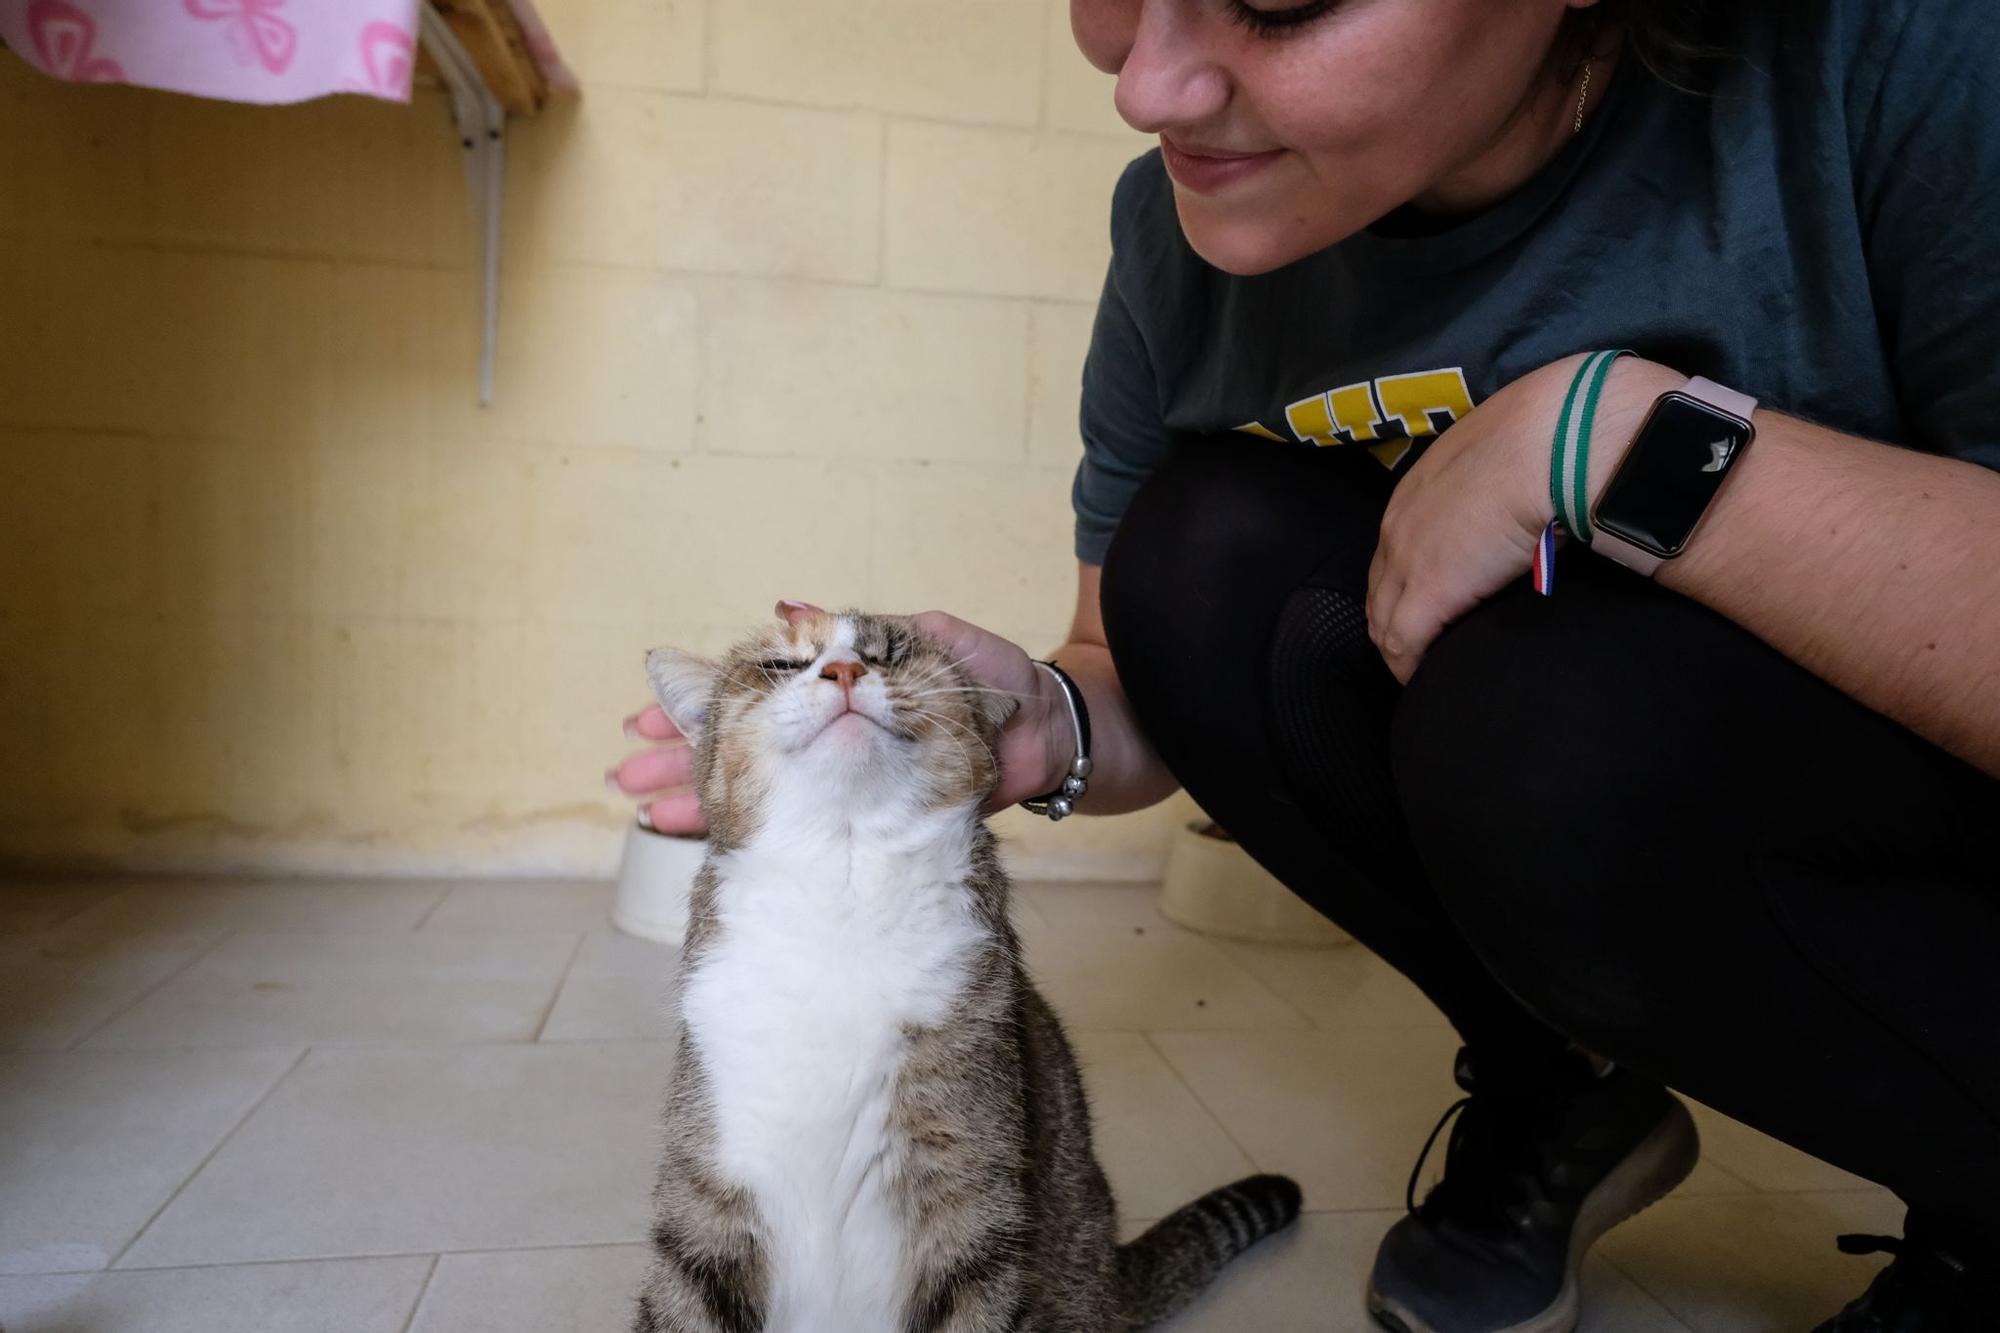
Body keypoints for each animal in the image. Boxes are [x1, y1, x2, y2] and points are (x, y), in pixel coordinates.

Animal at [632, 612, 1304, 1328]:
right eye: (782, 665)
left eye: (888, 653)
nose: (843, 670)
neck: (844, 886)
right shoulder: (707, 1194)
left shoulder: (968, 1201)